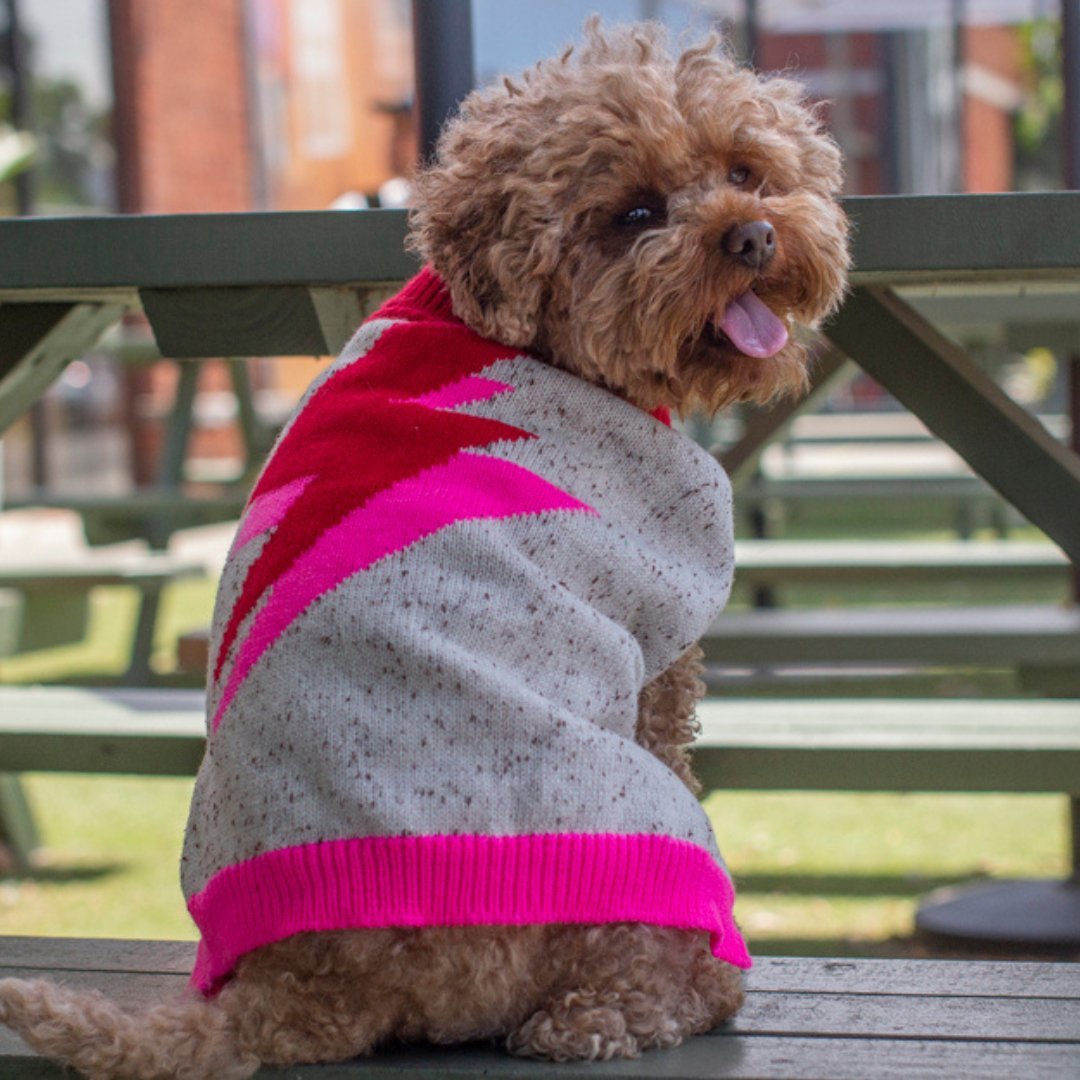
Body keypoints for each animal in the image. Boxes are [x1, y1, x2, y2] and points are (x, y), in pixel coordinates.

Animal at [0, 21, 842, 1075]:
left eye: (745, 169)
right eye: (636, 212)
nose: (754, 234)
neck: (536, 339)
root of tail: (302, 994)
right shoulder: (660, 635)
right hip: (632, 843)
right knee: (606, 998)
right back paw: (683, 993)